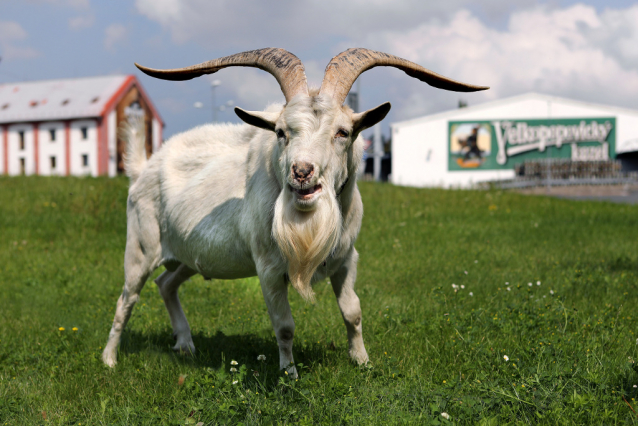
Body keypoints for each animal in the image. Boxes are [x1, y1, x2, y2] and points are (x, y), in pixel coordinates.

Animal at [102, 47, 488, 376]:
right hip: (140, 247)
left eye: (343, 132)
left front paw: (362, 361)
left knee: (166, 284)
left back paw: (185, 345)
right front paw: (289, 374)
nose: (302, 172)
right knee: (127, 299)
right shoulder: (269, 269)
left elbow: (353, 312)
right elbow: (284, 327)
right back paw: (109, 359)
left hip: (188, 257)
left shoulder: (346, 258)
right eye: (280, 131)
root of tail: (143, 168)